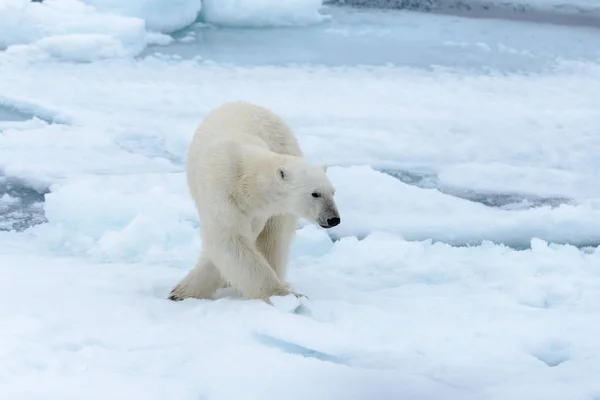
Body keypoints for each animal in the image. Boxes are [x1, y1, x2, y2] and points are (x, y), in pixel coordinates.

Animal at [169, 101, 340, 304]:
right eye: (315, 194)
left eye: (333, 192)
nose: (333, 219)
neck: (243, 173)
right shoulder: (222, 193)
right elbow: (230, 238)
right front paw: (281, 294)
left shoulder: (256, 211)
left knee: (275, 236)